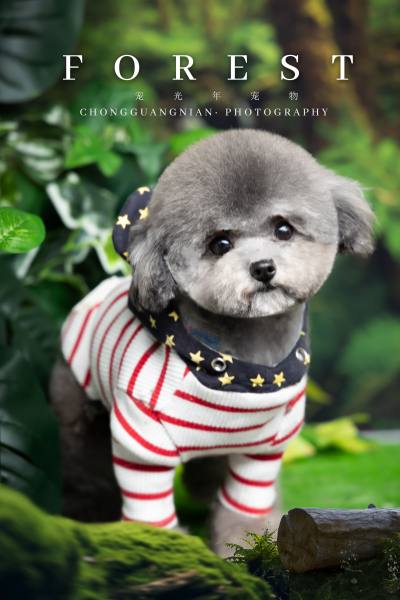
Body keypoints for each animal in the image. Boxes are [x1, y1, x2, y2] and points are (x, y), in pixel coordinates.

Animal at [51, 129, 374, 555]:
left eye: (283, 229)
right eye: (220, 243)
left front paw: (249, 546)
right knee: (84, 473)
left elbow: (245, 509)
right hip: (77, 410)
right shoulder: (141, 444)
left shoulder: (264, 448)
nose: (263, 268)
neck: (241, 362)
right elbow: (150, 514)